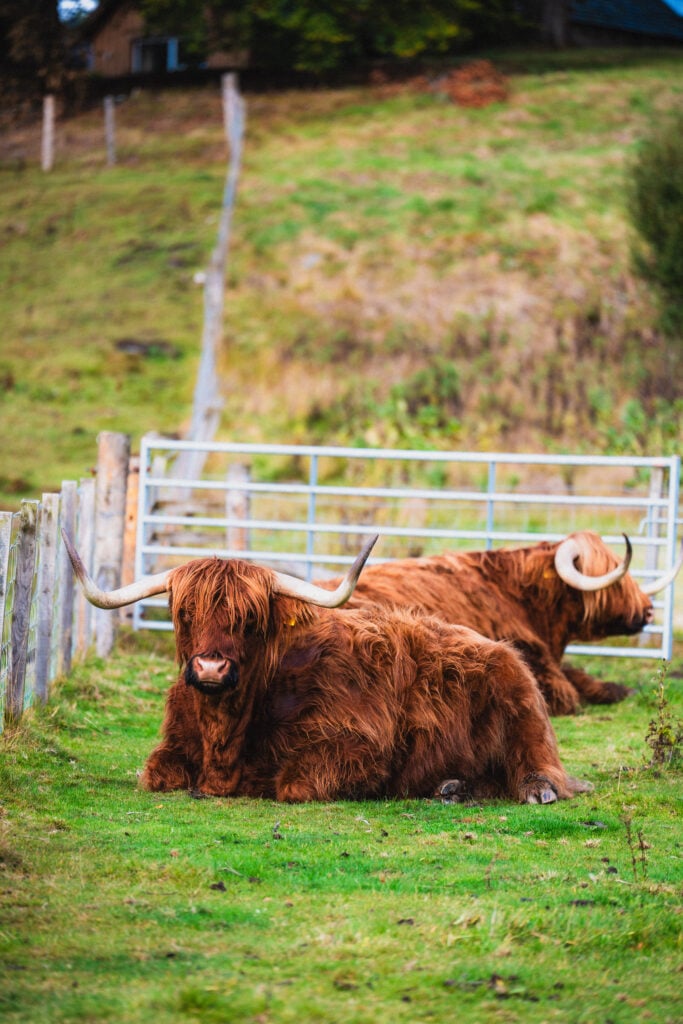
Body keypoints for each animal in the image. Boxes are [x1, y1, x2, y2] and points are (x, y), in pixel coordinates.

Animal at [62, 530, 590, 806]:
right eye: (184, 613)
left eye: (250, 618)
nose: (210, 667)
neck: (224, 737)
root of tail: (495, 644)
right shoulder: (171, 748)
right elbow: (156, 774)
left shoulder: (359, 747)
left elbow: (294, 785)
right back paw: (452, 786)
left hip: (525, 711)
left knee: (540, 767)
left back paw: (535, 788)